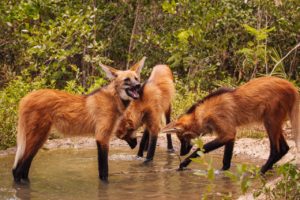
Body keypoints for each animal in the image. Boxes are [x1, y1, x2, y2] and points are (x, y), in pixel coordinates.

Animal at [12, 56, 146, 183]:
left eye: (136, 78)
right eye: (127, 80)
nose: (138, 86)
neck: (114, 98)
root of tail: (25, 98)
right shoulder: (102, 137)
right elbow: (104, 171)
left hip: (41, 138)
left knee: (23, 168)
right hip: (38, 135)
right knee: (17, 170)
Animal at [163, 76, 298, 173]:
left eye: (182, 139)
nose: (181, 153)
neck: (202, 115)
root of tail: (292, 86)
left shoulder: (227, 131)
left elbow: (202, 148)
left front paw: (183, 163)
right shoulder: (230, 133)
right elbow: (226, 159)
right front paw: (223, 172)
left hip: (269, 121)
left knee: (275, 149)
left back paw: (261, 171)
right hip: (274, 122)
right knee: (285, 148)